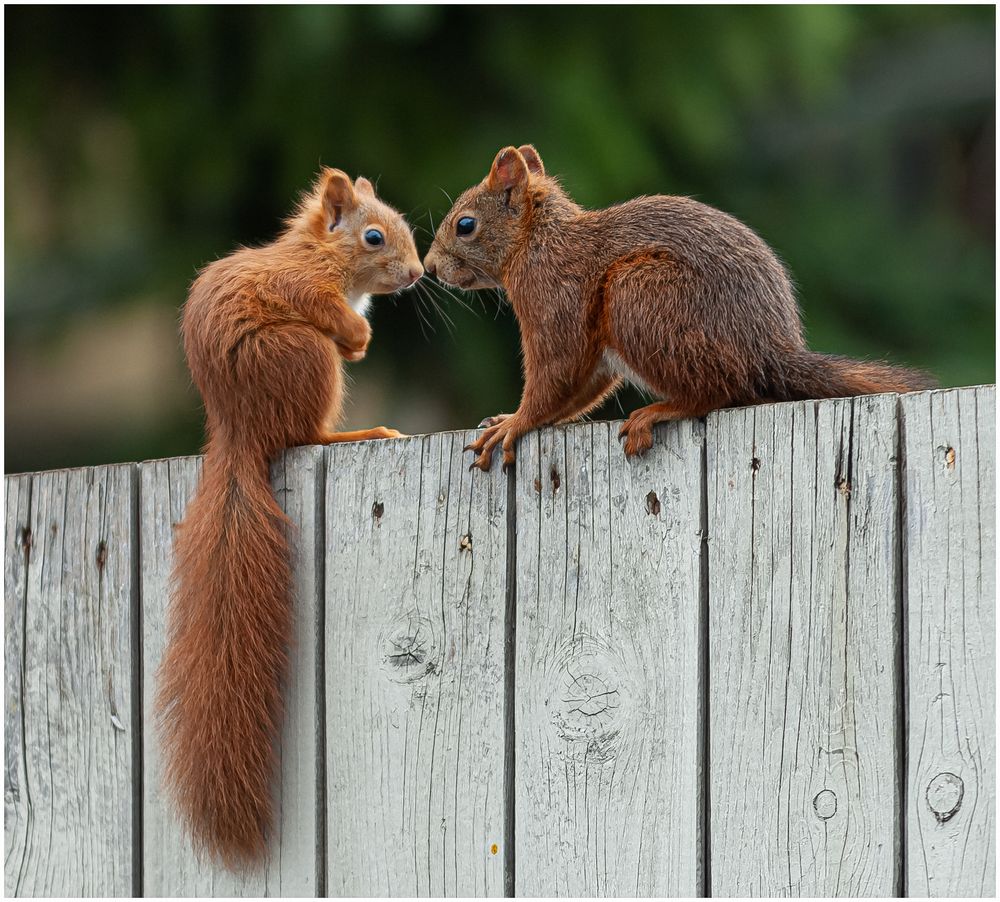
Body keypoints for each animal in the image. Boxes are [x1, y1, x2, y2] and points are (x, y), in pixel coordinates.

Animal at [159, 170, 422, 868]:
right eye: (374, 236)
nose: (418, 273)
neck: (330, 259)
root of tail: (238, 432)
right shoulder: (299, 285)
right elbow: (321, 305)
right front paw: (358, 335)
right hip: (304, 356)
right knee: (308, 436)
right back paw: (361, 432)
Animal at [426, 144, 932, 470]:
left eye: (466, 225)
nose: (430, 266)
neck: (537, 241)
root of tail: (769, 352)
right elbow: (580, 389)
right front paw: (509, 418)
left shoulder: (555, 300)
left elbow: (556, 373)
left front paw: (514, 423)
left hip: (639, 296)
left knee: (718, 392)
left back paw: (660, 410)